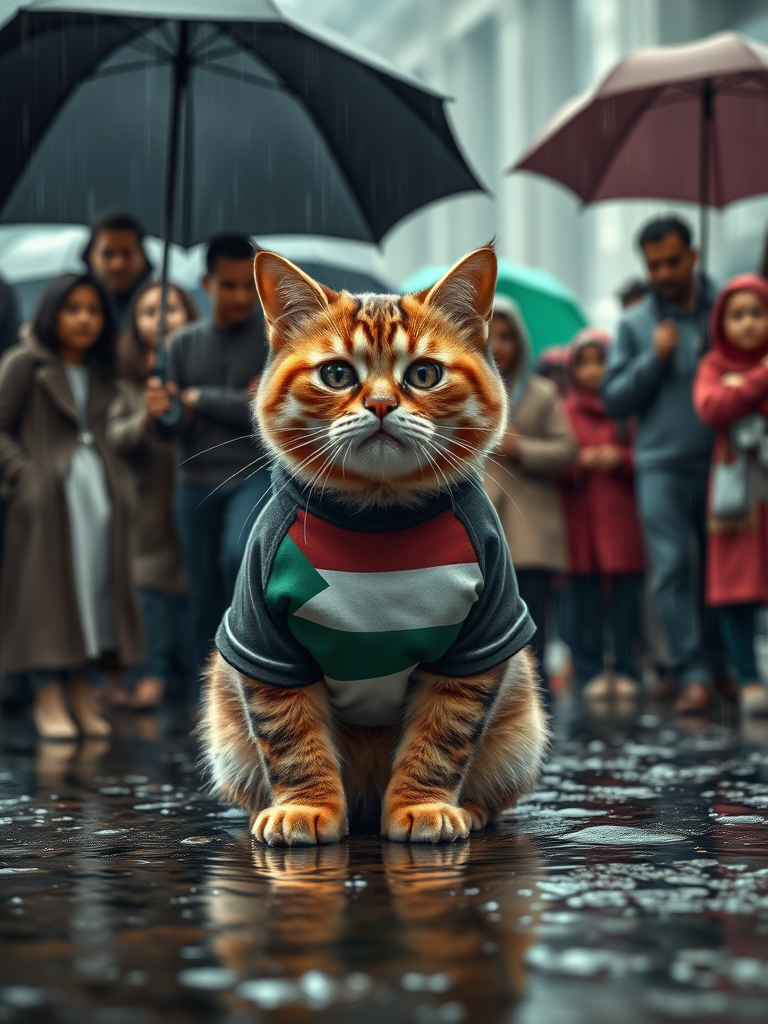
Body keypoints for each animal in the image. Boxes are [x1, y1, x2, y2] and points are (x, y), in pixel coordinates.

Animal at [198, 243, 548, 843]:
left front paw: (422, 804)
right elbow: (291, 739)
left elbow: (442, 738)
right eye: (336, 373)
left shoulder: (479, 642)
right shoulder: (265, 643)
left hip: (520, 730)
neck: (377, 515)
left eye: (425, 374)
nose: (382, 404)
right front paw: (305, 806)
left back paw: (471, 811)